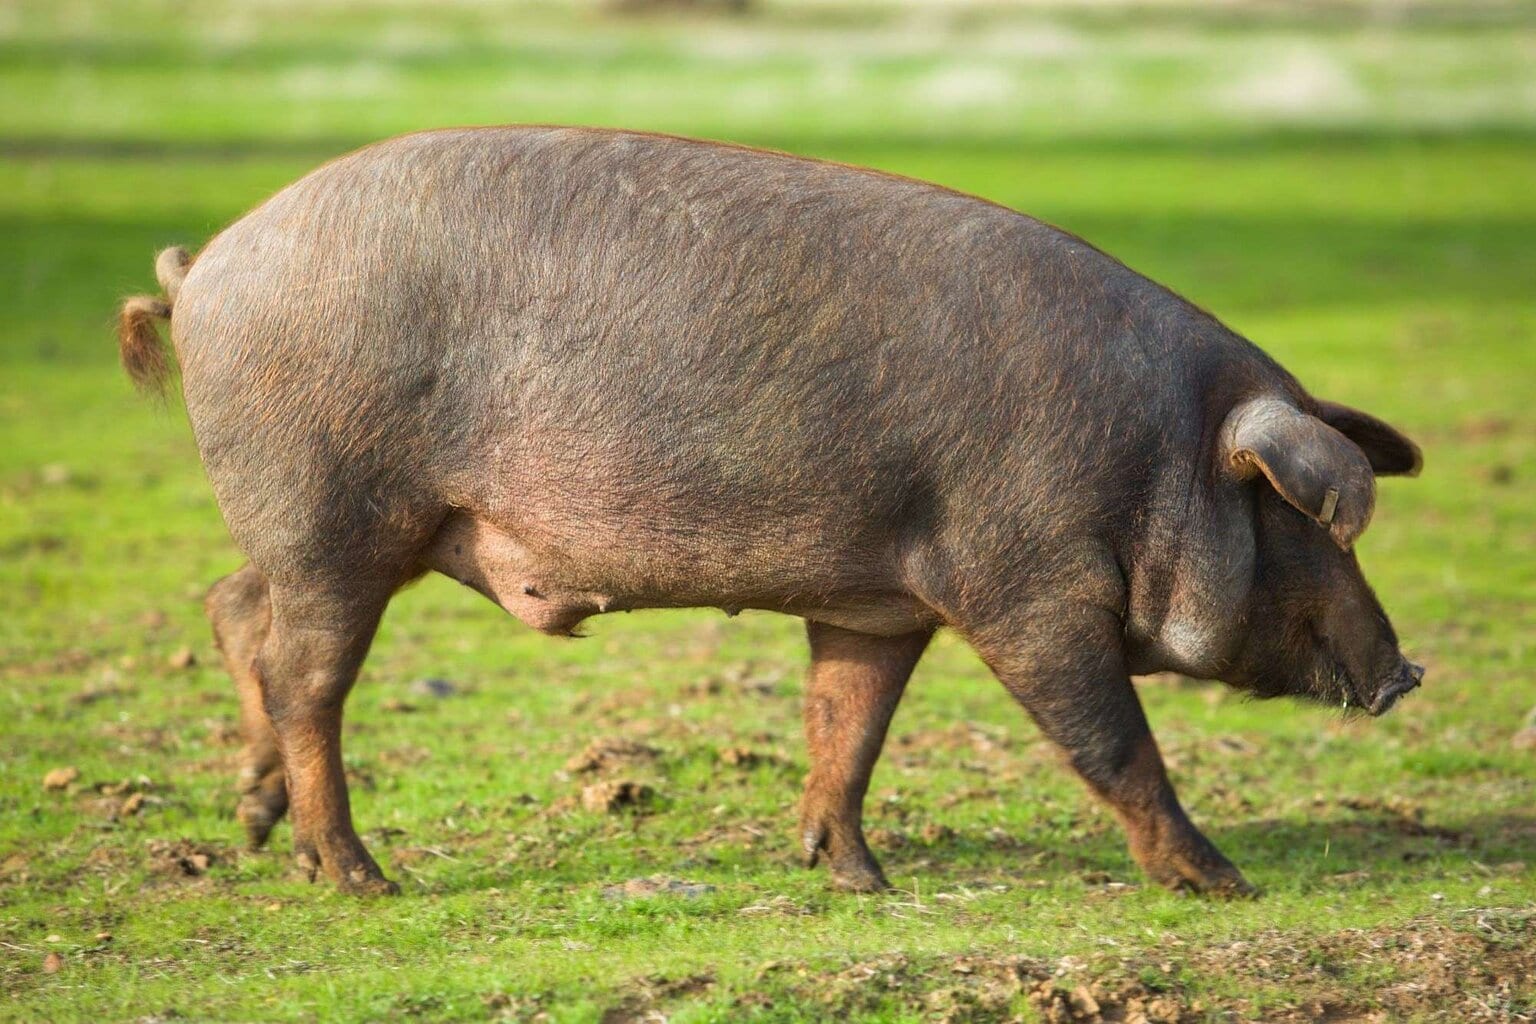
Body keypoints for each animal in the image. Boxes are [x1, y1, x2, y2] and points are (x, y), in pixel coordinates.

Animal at [117, 126, 1424, 897]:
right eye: (1311, 521)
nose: (1408, 673)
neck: (1155, 452)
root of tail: (206, 266)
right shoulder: (1029, 586)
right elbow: (1113, 742)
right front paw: (1227, 883)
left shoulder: (880, 603)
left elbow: (847, 723)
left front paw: (856, 878)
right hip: (330, 509)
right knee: (307, 677)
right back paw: (358, 876)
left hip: (322, 530)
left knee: (235, 611)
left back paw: (257, 829)